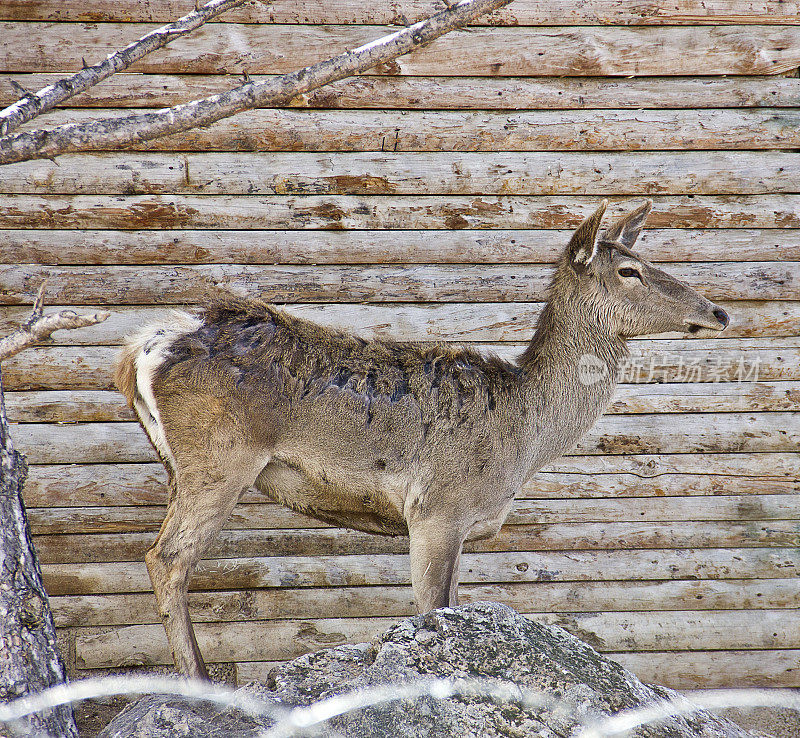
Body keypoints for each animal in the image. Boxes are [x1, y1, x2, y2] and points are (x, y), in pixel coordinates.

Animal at [114, 198, 732, 676]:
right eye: (628, 271)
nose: (719, 311)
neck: (526, 440)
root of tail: (144, 346)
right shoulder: (436, 509)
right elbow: (430, 613)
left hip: (178, 466)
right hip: (218, 460)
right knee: (166, 558)